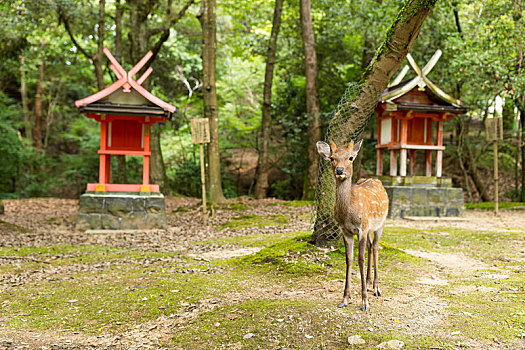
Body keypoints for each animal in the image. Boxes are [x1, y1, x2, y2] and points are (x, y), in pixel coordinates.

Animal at [316, 139, 388, 312]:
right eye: (332, 158)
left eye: (350, 158)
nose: (340, 170)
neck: (349, 214)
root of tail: (377, 180)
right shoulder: (346, 231)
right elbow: (349, 259)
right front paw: (345, 299)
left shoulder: (362, 228)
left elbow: (360, 259)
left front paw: (364, 302)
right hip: (370, 228)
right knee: (370, 246)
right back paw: (368, 284)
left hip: (380, 224)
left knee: (376, 247)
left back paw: (376, 288)